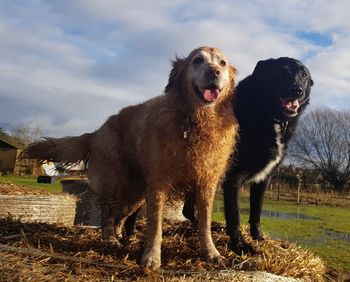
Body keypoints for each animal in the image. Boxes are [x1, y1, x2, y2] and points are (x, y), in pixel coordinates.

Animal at [23, 46, 238, 268]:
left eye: (222, 63)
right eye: (197, 60)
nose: (214, 72)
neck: (194, 121)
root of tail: (96, 132)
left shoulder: (206, 184)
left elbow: (204, 224)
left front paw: (211, 253)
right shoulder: (159, 184)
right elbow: (155, 226)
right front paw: (151, 257)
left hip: (137, 194)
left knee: (120, 216)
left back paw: (120, 237)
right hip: (114, 181)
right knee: (107, 215)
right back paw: (110, 239)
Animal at [182, 57, 314, 253]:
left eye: (303, 75)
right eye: (282, 71)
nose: (297, 90)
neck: (269, 116)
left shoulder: (264, 179)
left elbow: (256, 211)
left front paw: (257, 237)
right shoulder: (233, 177)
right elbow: (234, 215)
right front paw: (240, 246)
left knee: (188, 210)